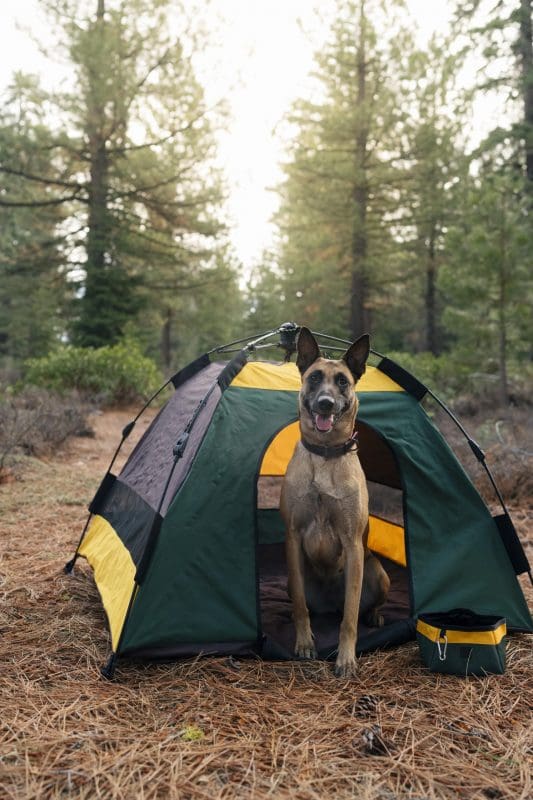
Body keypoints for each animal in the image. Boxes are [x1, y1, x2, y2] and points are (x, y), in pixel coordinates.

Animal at [278, 324, 390, 676]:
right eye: (314, 378)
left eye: (342, 381)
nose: (326, 403)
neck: (325, 455)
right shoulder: (293, 537)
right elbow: (301, 607)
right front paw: (304, 643)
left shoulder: (353, 544)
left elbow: (350, 616)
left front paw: (346, 657)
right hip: (292, 578)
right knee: (305, 603)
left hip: (377, 571)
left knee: (359, 607)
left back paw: (375, 615)